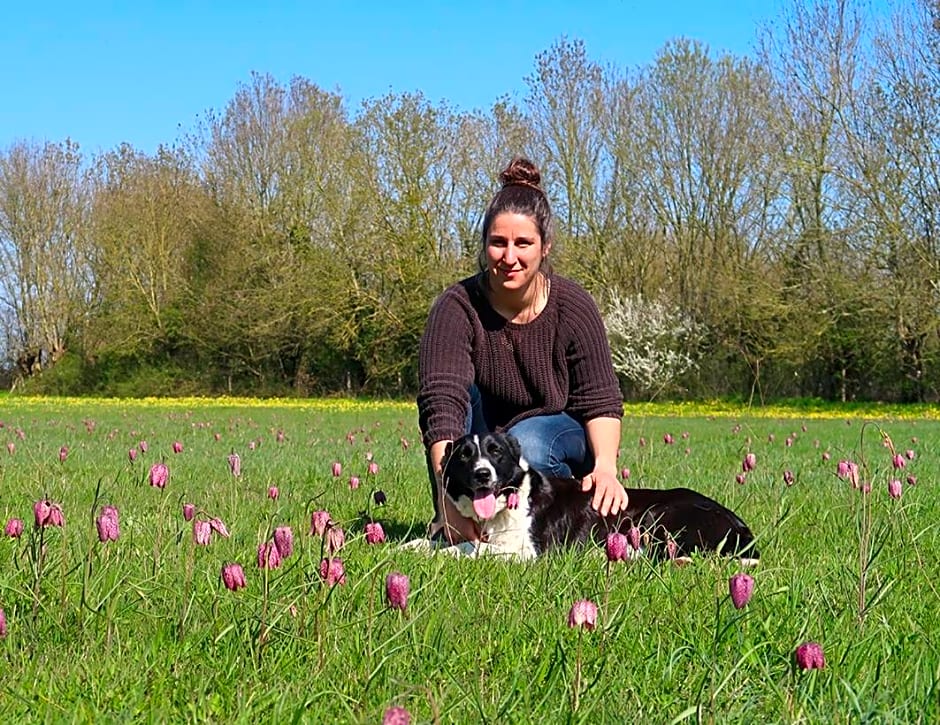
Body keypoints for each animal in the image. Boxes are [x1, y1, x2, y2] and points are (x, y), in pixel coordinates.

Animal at [436, 432, 760, 564]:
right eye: (464, 455)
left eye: (496, 452)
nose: (482, 474)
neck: (513, 496)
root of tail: (741, 526)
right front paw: (425, 547)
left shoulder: (533, 552)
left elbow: (476, 548)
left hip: (657, 516)